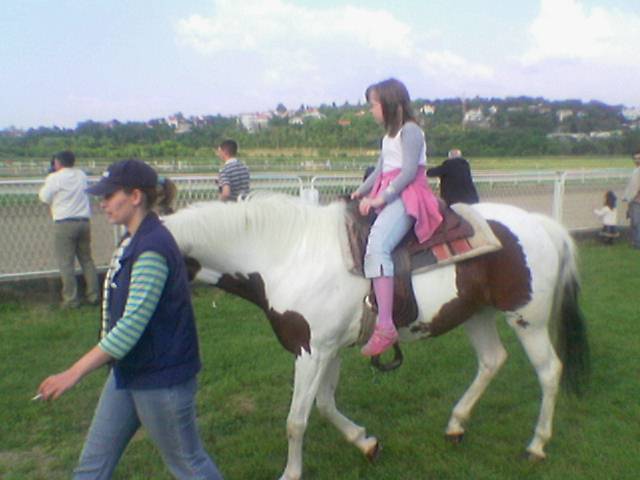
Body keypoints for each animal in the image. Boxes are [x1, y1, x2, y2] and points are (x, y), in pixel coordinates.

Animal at [162, 193, 589, 480]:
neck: (287, 256)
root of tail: (541, 224)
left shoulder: (311, 352)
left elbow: (297, 419)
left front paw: (292, 473)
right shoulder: (329, 350)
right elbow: (325, 405)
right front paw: (365, 442)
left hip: (527, 320)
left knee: (549, 372)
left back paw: (536, 445)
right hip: (476, 314)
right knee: (492, 360)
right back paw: (456, 424)